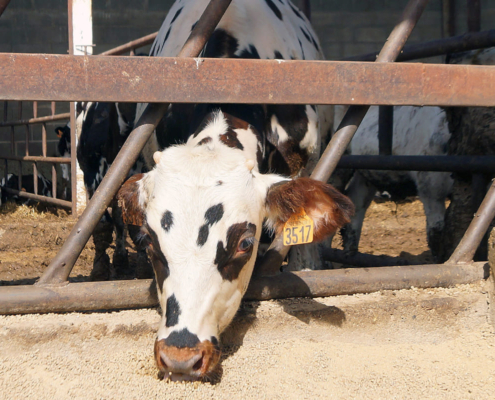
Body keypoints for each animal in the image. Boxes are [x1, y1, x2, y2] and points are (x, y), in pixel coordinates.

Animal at [334, 104, 454, 260]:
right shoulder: (430, 187)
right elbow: (436, 232)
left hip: (366, 173)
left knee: (357, 202)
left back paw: (350, 251)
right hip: (341, 163)